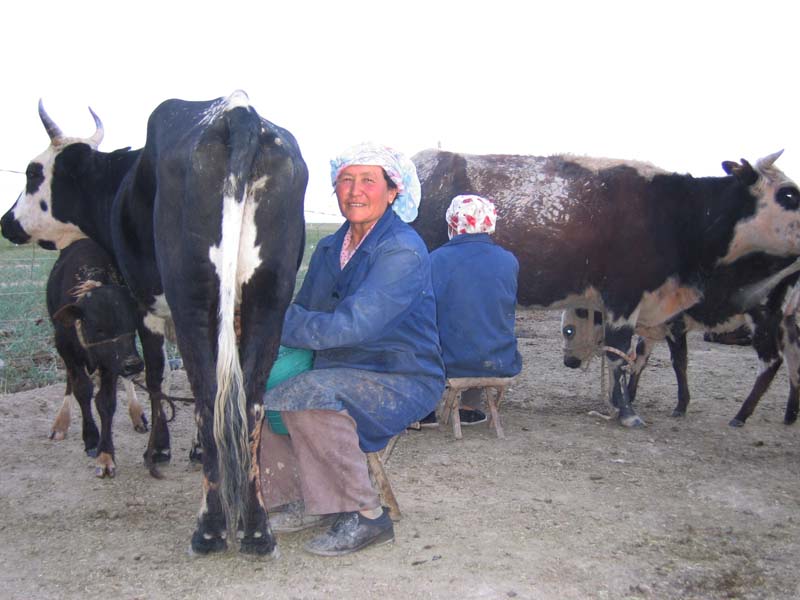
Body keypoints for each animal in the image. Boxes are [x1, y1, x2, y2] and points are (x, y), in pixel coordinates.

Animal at [47, 237, 145, 476]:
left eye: (132, 324)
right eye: (99, 329)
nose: (133, 365)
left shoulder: (110, 362)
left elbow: (106, 401)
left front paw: (105, 455)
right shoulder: (66, 351)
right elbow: (82, 390)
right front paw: (91, 438)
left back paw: (136, 413)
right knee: (71, 382)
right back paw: (61, 423)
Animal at [410, 150, 800, 428]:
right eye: (788, 194)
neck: (674, 211)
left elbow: (629, 357)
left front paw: (618, 403)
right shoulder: (625, 296)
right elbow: (619, 354)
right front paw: (626, 411)